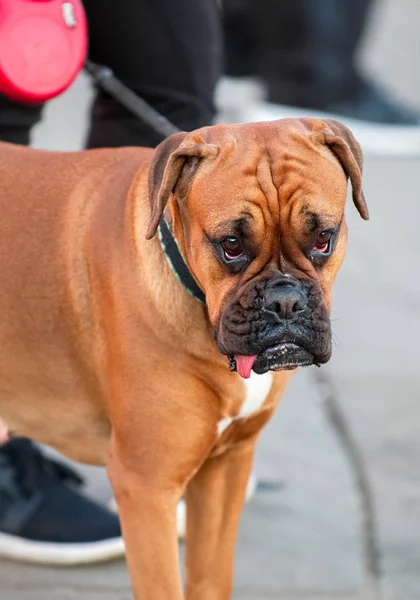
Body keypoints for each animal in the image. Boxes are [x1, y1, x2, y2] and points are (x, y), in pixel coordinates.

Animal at [0, 118, 368, 600]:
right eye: (231, 245)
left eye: (324, 238)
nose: (285, 301)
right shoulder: (147, 489)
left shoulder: (226, 469)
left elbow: (210, 577)